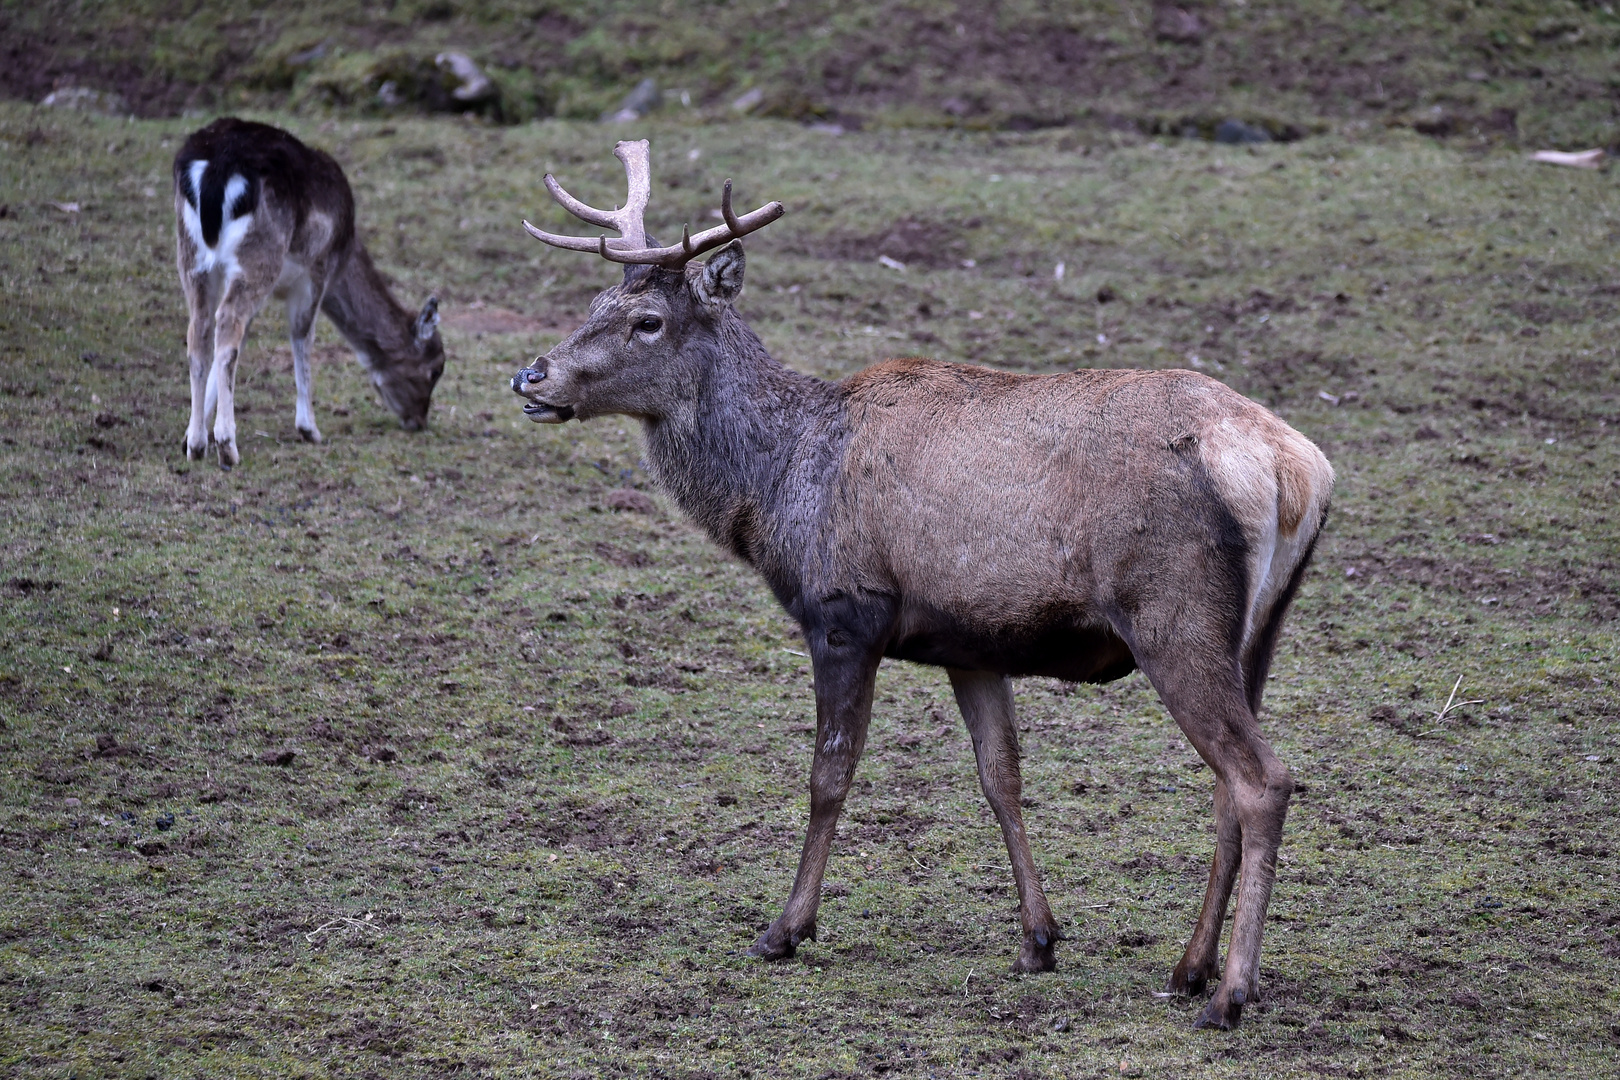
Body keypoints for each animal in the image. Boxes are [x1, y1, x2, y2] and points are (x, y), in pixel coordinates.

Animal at [171, 119, 447, 469]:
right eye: (435, 369)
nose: (419, 420)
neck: (345, 251)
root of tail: (216, 168)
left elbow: (240, 343)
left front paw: (188, 437)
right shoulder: (317, 271)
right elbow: (302, 336)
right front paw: (309, 429)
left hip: (192, 257)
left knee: (202, 329)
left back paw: (196, 444)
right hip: (259, 256)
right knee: (228, 321)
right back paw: (227, 446)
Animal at [511, 143, 1334, 1029]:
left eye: (648, 322)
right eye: (594, 300)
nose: (531, 376)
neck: (778, 487)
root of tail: (1294, 469)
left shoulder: (846, 612)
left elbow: (829, 775)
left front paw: (785, 929)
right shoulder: (970, 644)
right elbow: (1001, 779)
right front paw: (1038, 940)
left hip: (1172, 614)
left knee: (1260, 778)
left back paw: (1230, 992)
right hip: (1258, 631)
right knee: (1227, 782)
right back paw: (1188, 966)